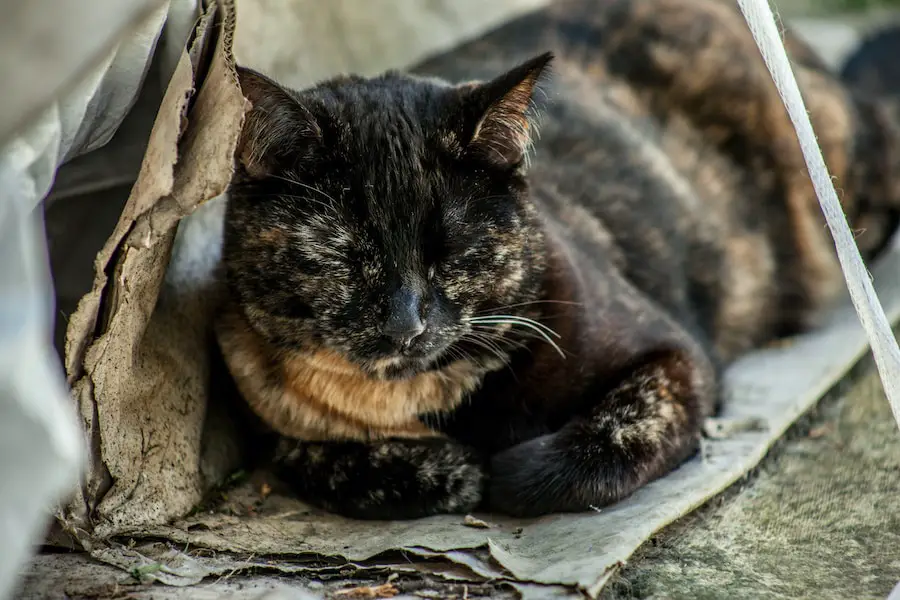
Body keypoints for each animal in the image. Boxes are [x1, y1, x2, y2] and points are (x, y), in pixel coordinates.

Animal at [214, 0, 900, 516]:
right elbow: (316, 459)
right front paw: (448, 469)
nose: (407, 324)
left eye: (451, 249)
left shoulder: (677, 359)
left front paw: (502, 470)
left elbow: (601, 441)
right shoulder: (268, 412)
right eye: (347, 255)